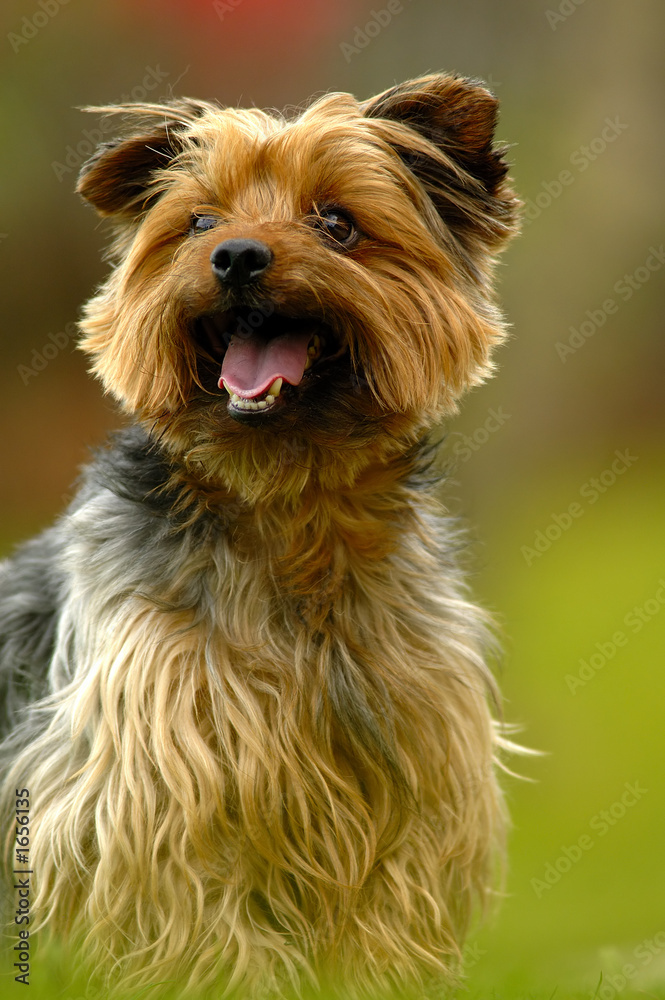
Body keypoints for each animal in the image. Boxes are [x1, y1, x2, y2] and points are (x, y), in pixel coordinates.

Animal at [1, 74, 520, 996]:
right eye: (198, 222)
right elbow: (195, 918)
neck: (286, 502)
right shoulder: (154, 778)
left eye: (337, 223)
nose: (237, 256)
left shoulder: (414, 773)